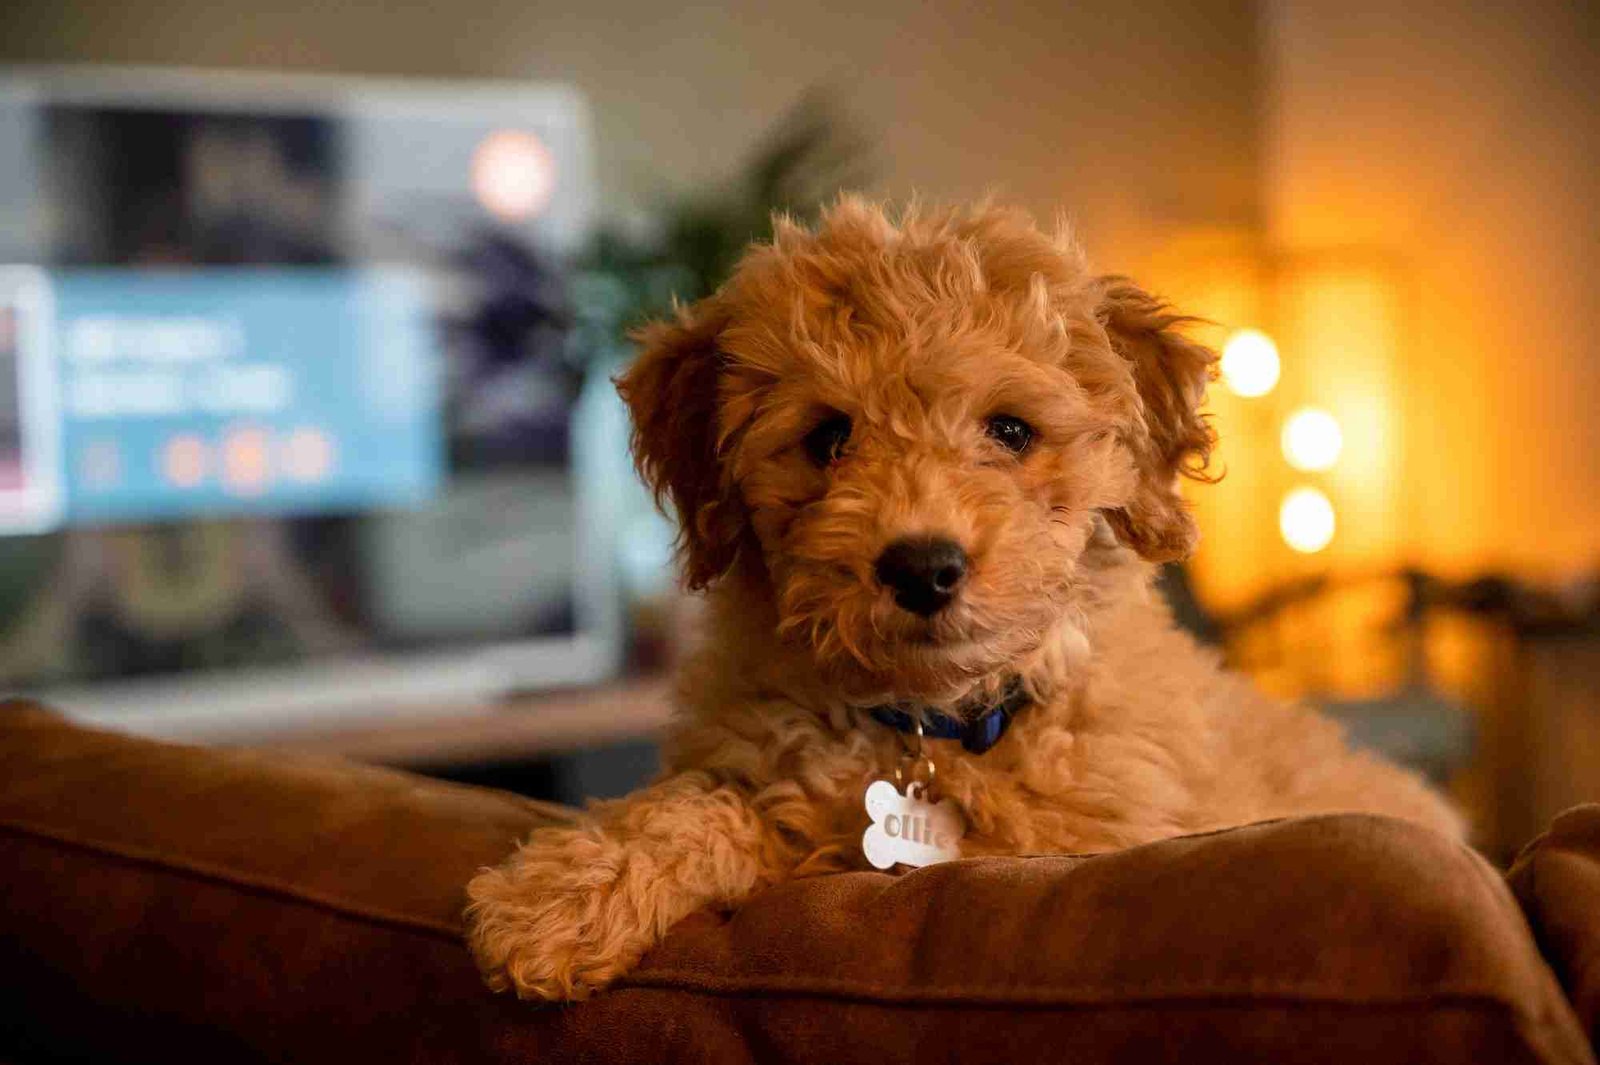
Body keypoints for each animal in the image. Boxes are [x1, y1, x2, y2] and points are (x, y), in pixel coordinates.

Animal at [464, 196, 1465, 997]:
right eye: (827, 438)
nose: (922, 567)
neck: (935, 729)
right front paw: (557, 897)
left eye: (1011, 430)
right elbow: (710, 803)